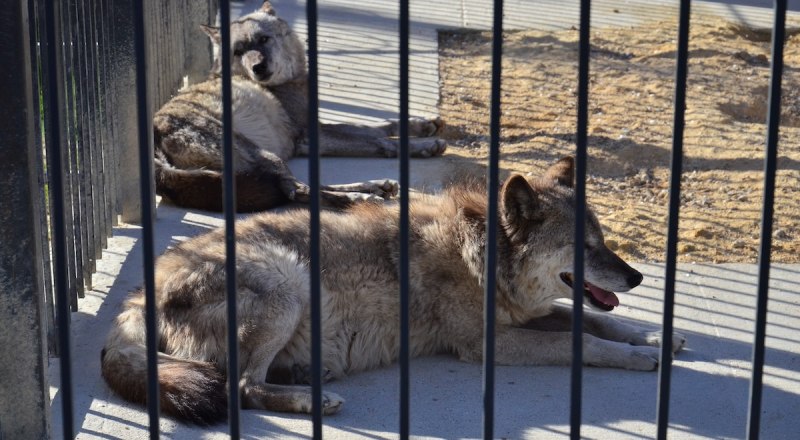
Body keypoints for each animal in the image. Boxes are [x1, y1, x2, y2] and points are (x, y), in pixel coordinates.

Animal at [100, 157, 688, 422]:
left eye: (604, 240)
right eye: (584, 247)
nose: (637, 277)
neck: (479, 251)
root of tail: (134, 300)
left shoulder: (523, 317)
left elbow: (598, 318)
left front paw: (657, 337)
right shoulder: (489, 343)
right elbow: (581, 339)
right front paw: (640, 358)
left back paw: (306, 376)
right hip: (288, 279)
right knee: (241, 385)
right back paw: (313, 399)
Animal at [153, 1, 446, 211]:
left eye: (263, 40)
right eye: (238, 51)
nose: (258, 68)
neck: (285, 84)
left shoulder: (313, 126)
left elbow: (379, 126)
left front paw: (424, 126)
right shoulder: (309, 135)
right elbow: (380, 141)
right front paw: (424, 145)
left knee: (300, 187)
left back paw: (375, 187)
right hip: (265, 155)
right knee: (298, 192)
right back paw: (360, 197)